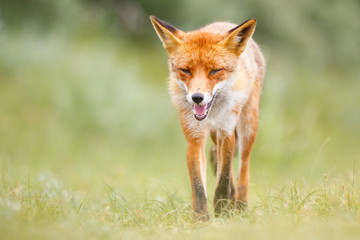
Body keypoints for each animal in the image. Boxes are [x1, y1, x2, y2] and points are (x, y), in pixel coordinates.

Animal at [150, 15, 266, 220]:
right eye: (186, 70)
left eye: (215, 71)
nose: (197, 97)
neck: (211, 114)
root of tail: (225, 23)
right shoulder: (195, 137)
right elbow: (198, 184)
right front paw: (201, 217)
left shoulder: (226, 131)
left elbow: (224, 178)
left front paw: (221, 211)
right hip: (214, 135)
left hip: (248, 126)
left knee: (243, 168)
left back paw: (241, 207)